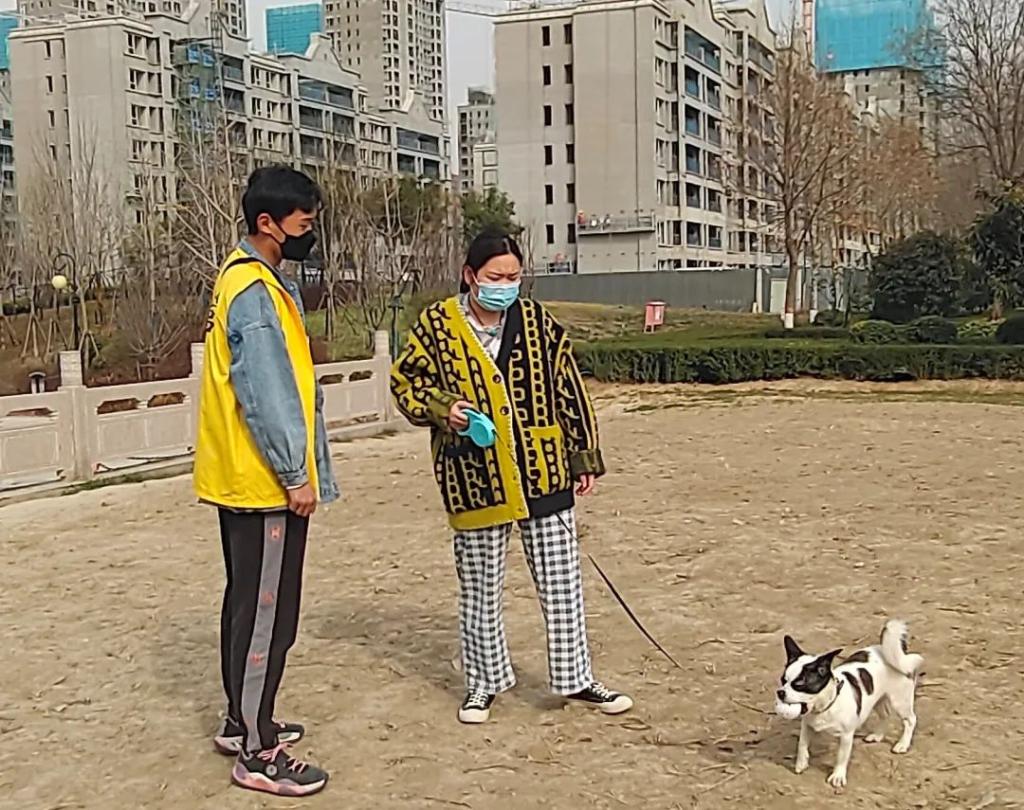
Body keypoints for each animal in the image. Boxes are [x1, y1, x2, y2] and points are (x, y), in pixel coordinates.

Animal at [775, 619, 924, 790]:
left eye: (799, 684)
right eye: (783, 680)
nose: (780, 692)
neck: (826, 705)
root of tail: (892, 652)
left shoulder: (846, 736)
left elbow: (841, 757)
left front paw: (837, 776)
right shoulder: (807, 726)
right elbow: (802, 745)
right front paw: (801, 763)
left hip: (900, 701)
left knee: (910, 720)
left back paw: (902, 744)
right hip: (876, 699)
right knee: (885, 715)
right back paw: (877, 735)